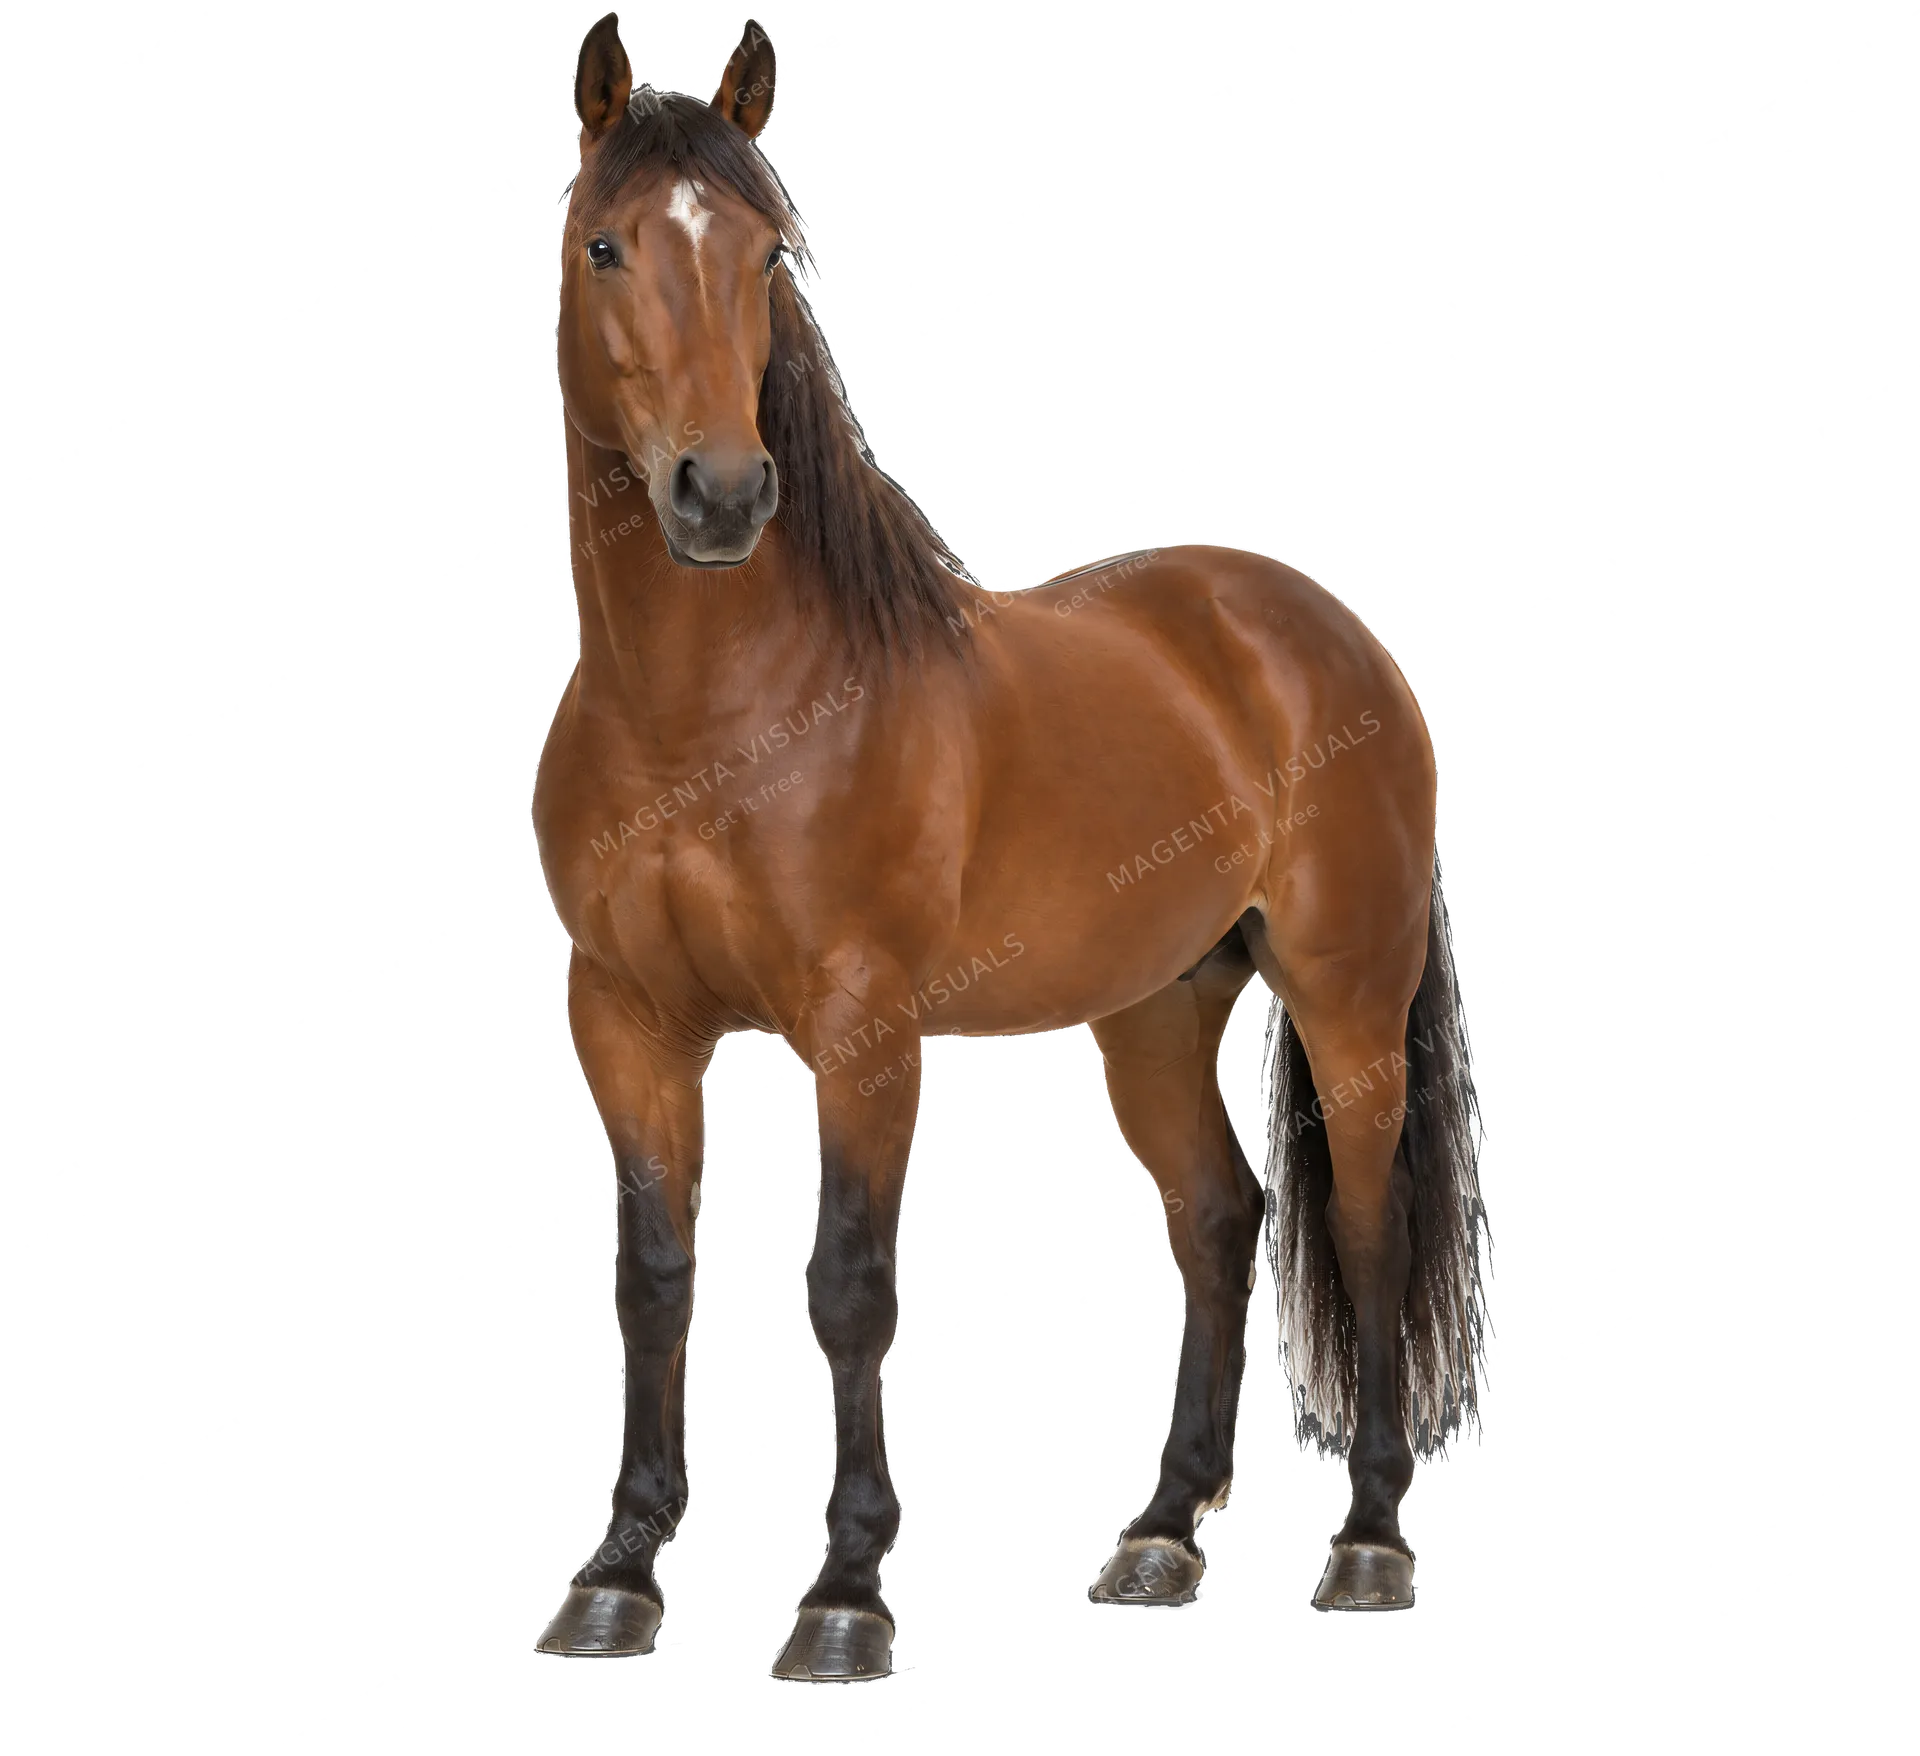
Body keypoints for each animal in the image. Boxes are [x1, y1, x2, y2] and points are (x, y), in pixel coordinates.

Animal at [532, 13, 1488, 1672]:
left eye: (771, 256)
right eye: (606, 246)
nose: (723, 495)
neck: (714, 715)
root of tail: (1322, 634)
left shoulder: (863, 1031)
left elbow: (849, 1284)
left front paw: (846, 1596)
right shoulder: (630, 1019)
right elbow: (655, 1278)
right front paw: (621, 1571)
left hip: (1348, 1001)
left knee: (1361, 1230)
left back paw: (1367, 1539)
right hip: (1157, 1006)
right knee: (1223, 1215)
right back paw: (1160, 1535)